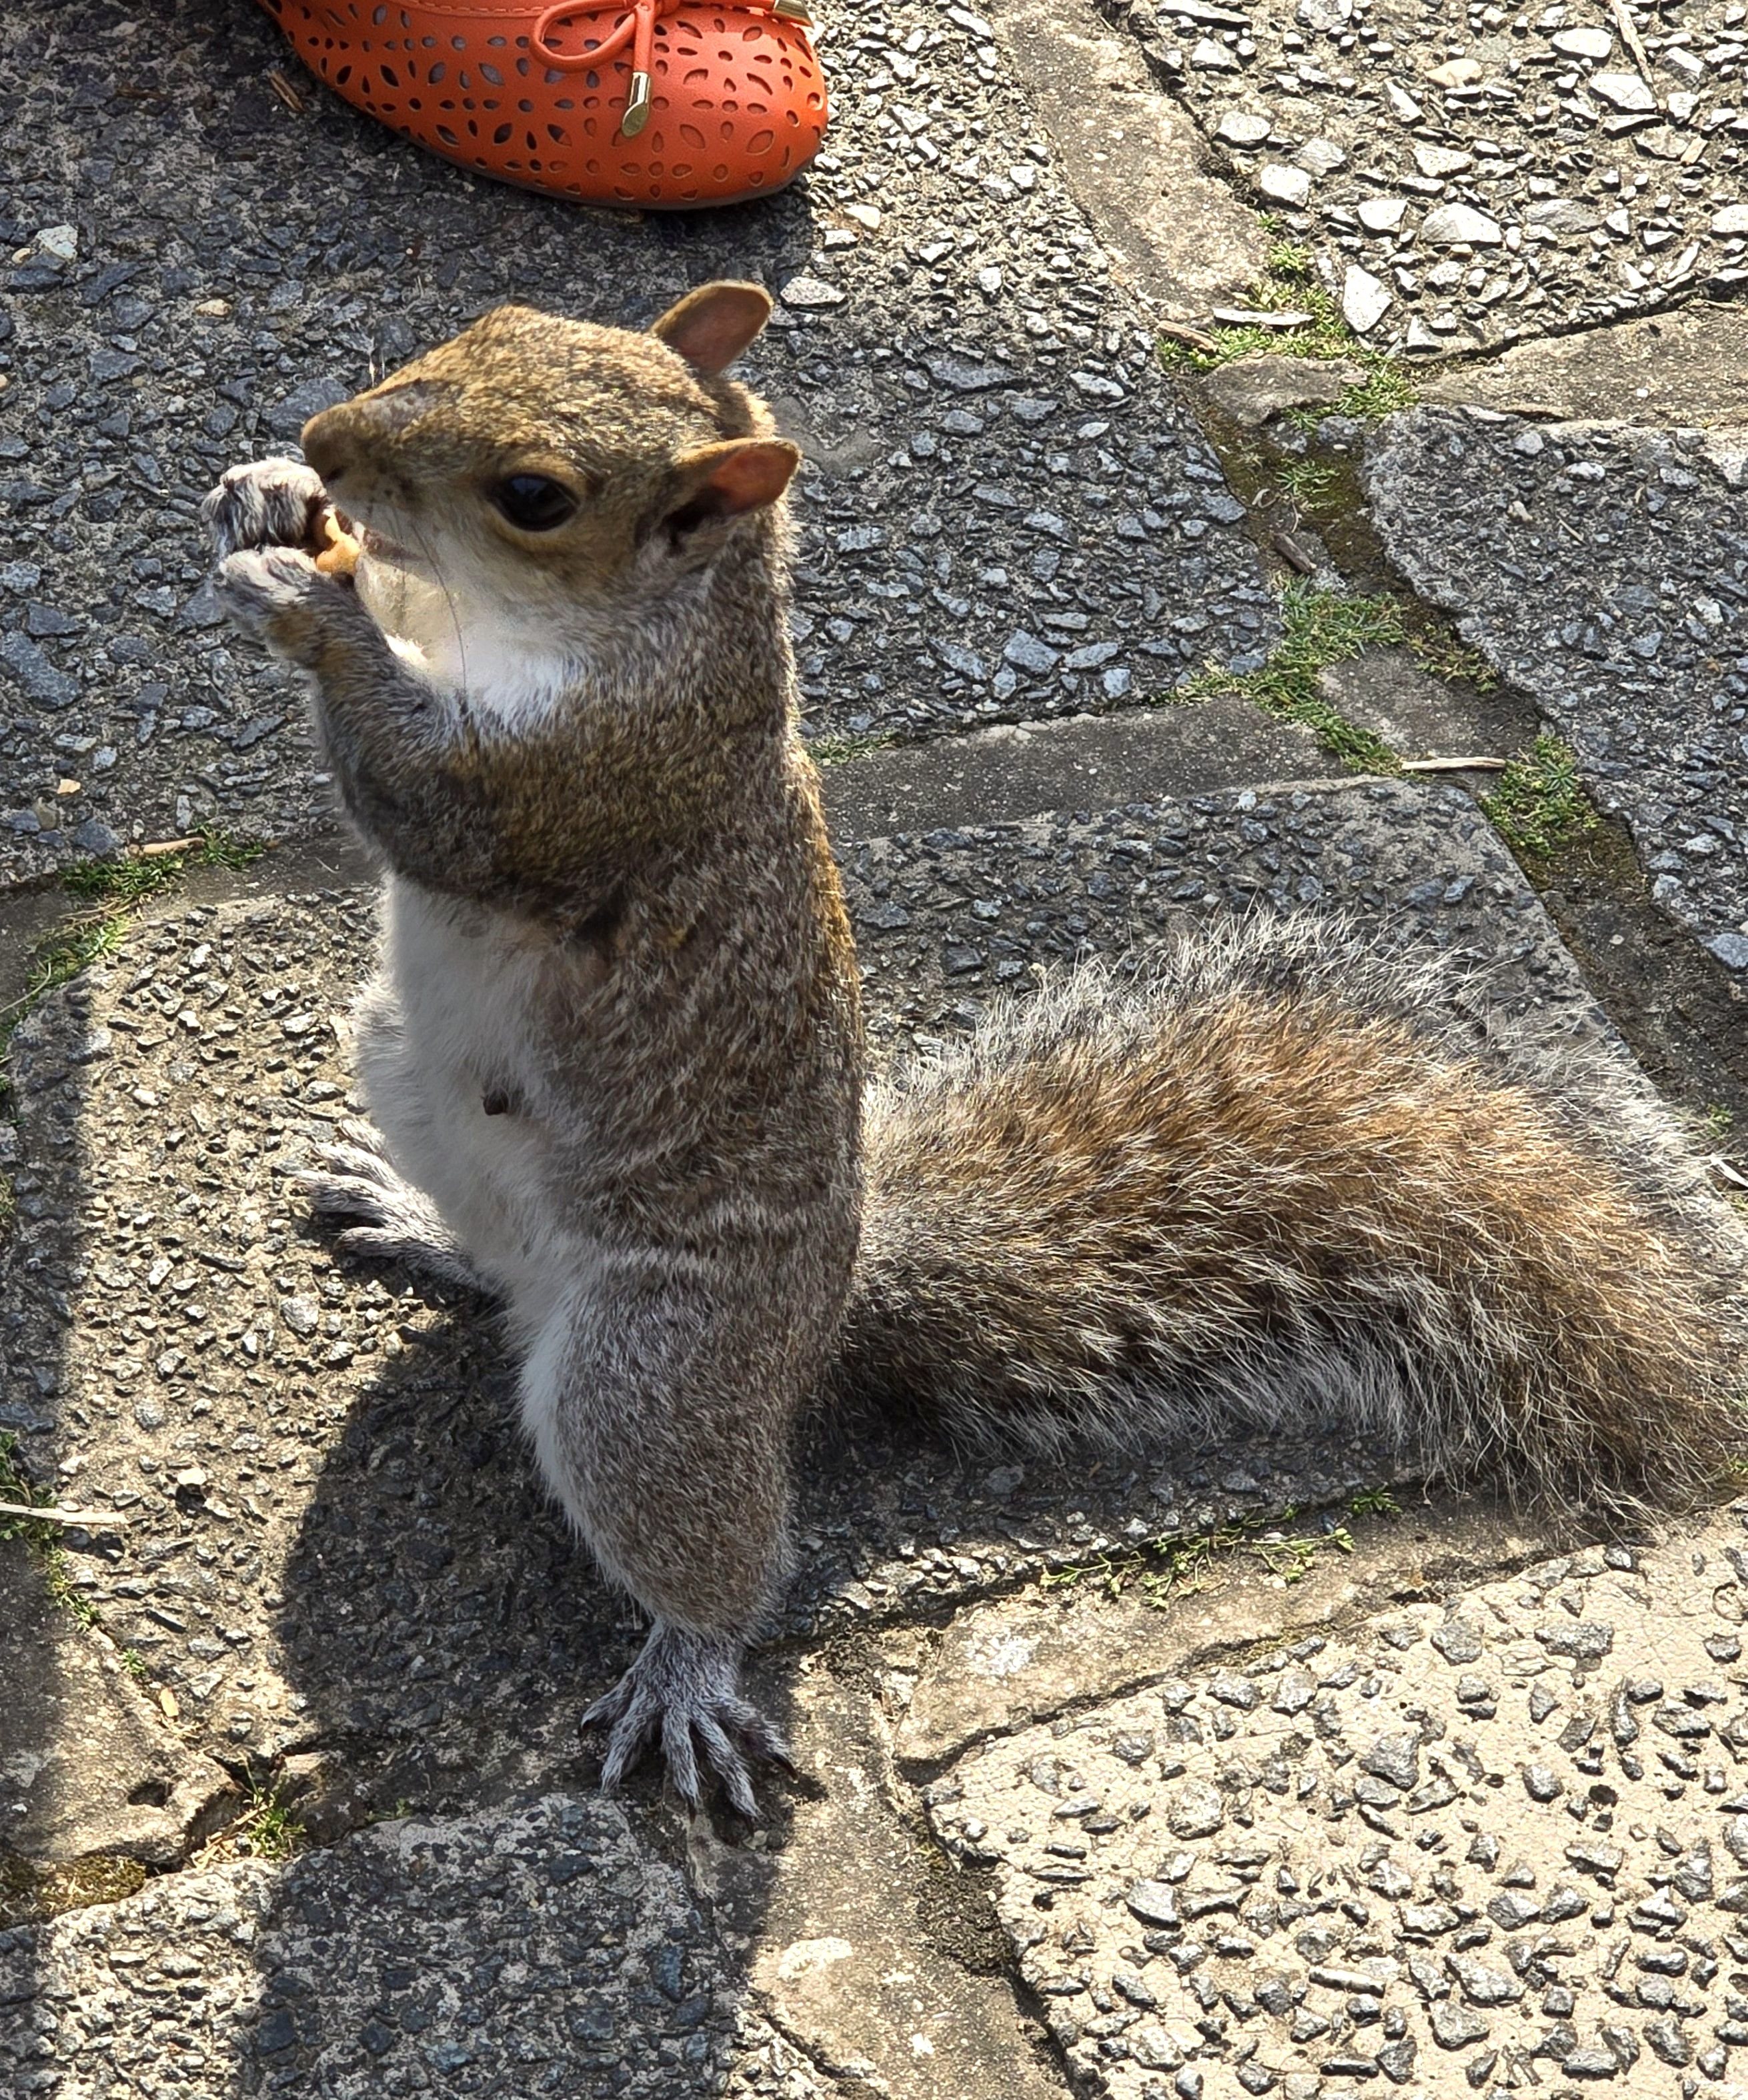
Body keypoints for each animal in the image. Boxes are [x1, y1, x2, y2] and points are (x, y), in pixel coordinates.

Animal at [200, 281, 1743, 1817]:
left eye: (534, 496)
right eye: (490, 326)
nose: (328, 441)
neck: (572, 626)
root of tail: (825, 1315)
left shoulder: (595, 783)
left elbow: (423, 801)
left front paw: (312, 604)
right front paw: (270, 501)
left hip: (653, 1369)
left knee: (713, 1544)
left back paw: (686, 1671)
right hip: (404, 1068)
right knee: (490, 1253)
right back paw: (414, 1220)